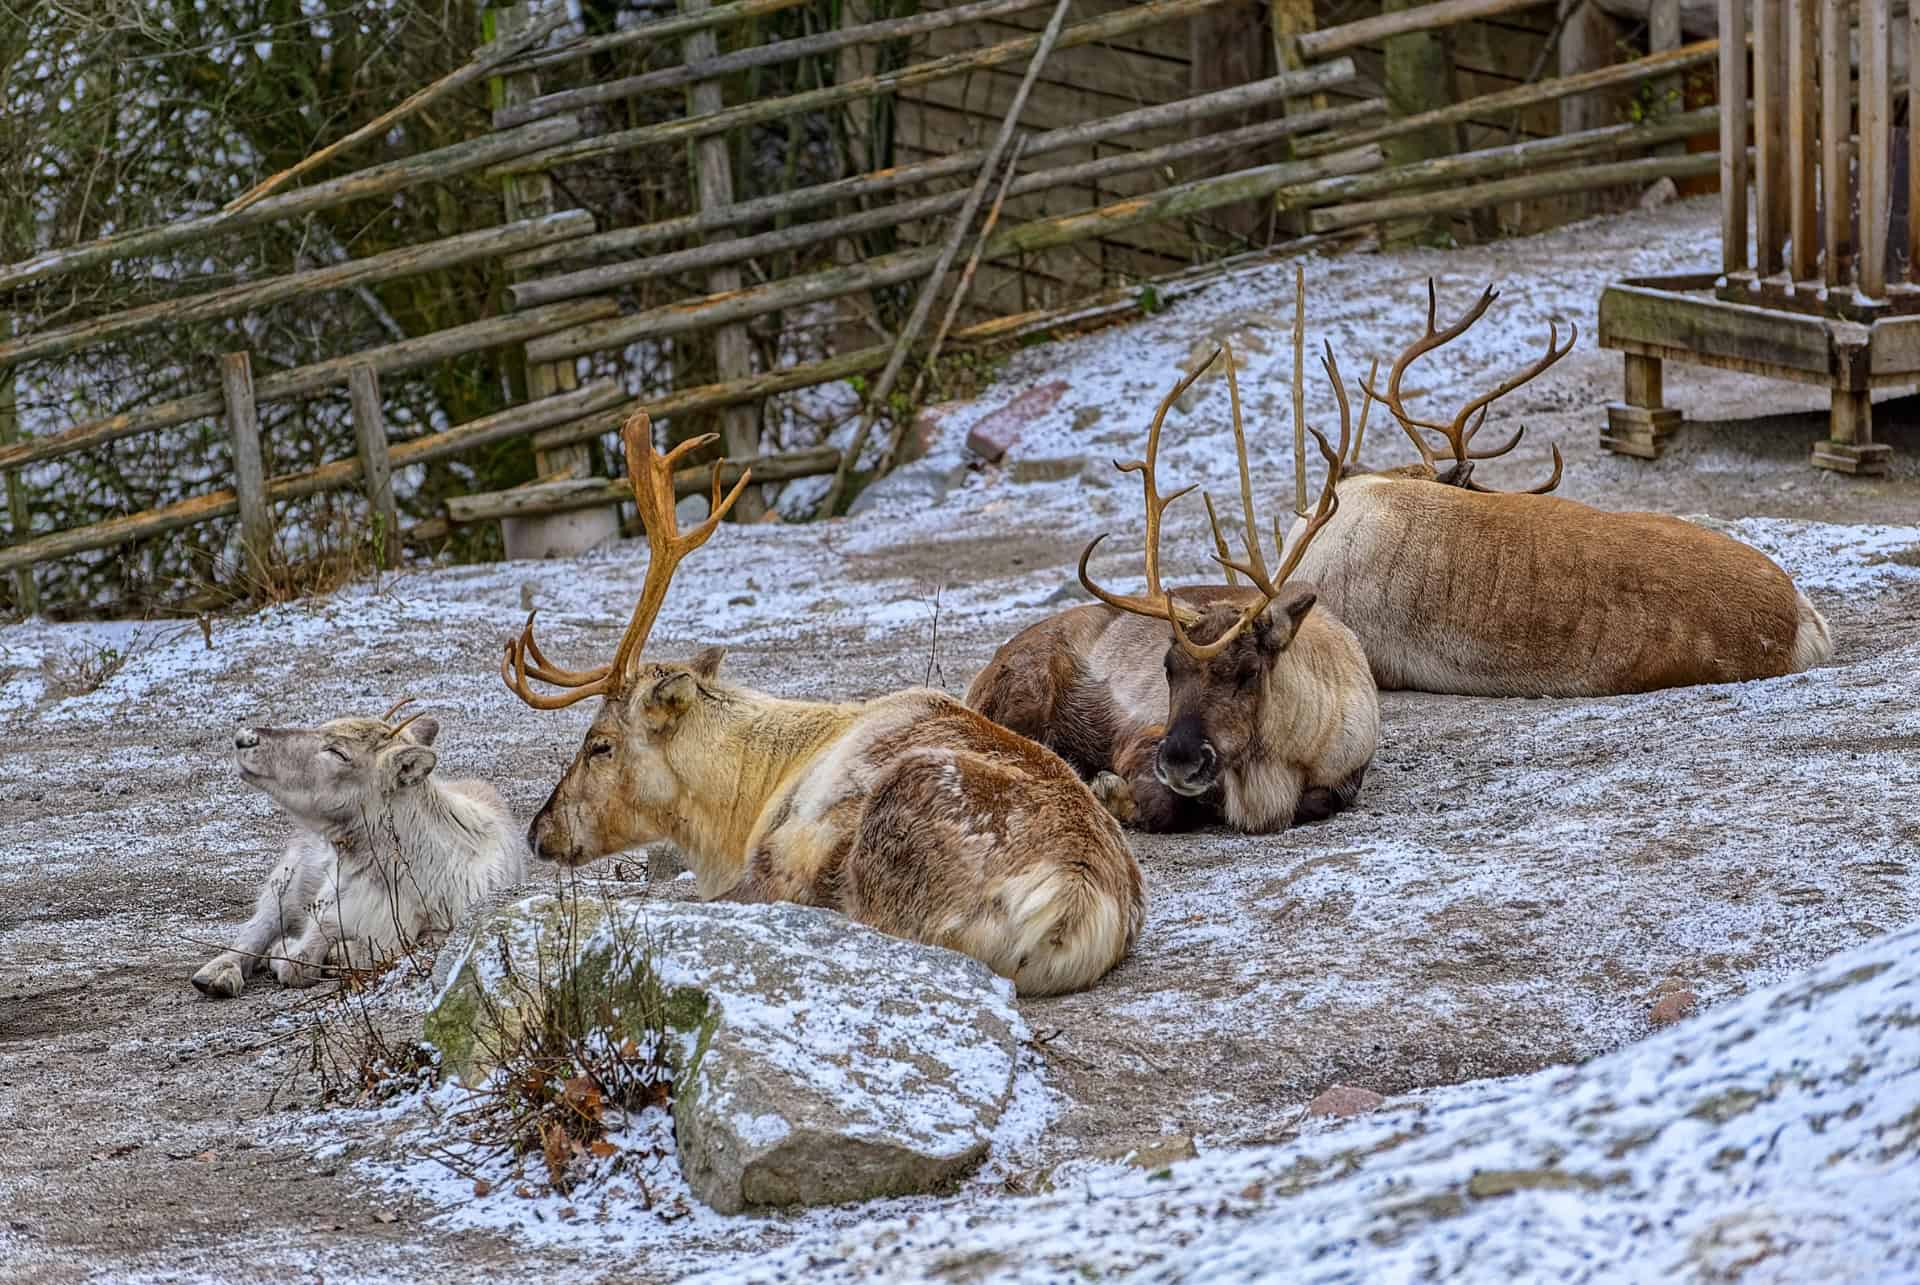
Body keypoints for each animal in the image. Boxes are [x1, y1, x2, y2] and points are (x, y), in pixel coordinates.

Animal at [193, 703, 529, 991]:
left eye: (339, 752)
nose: (244, 738)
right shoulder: (328, 911)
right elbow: (297, 963)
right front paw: (283, 952)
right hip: (286, 884)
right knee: (253, 930)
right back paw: (217, 975)